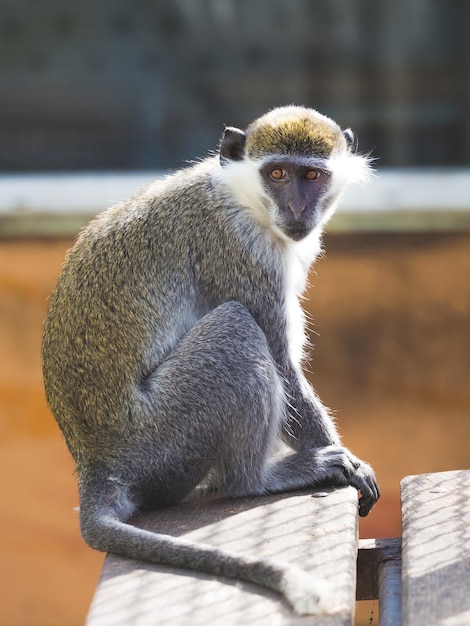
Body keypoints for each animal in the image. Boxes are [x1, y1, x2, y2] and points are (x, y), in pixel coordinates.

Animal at [42, 106, 380, 616]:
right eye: (277, 174)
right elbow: (281, 364)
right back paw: (255, 479)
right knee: (237, 327)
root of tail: (97, 464)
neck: (241, 198)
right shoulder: (239, 253)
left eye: (311, 176)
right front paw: (350, 466)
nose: (296, 211)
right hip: (163, 433)